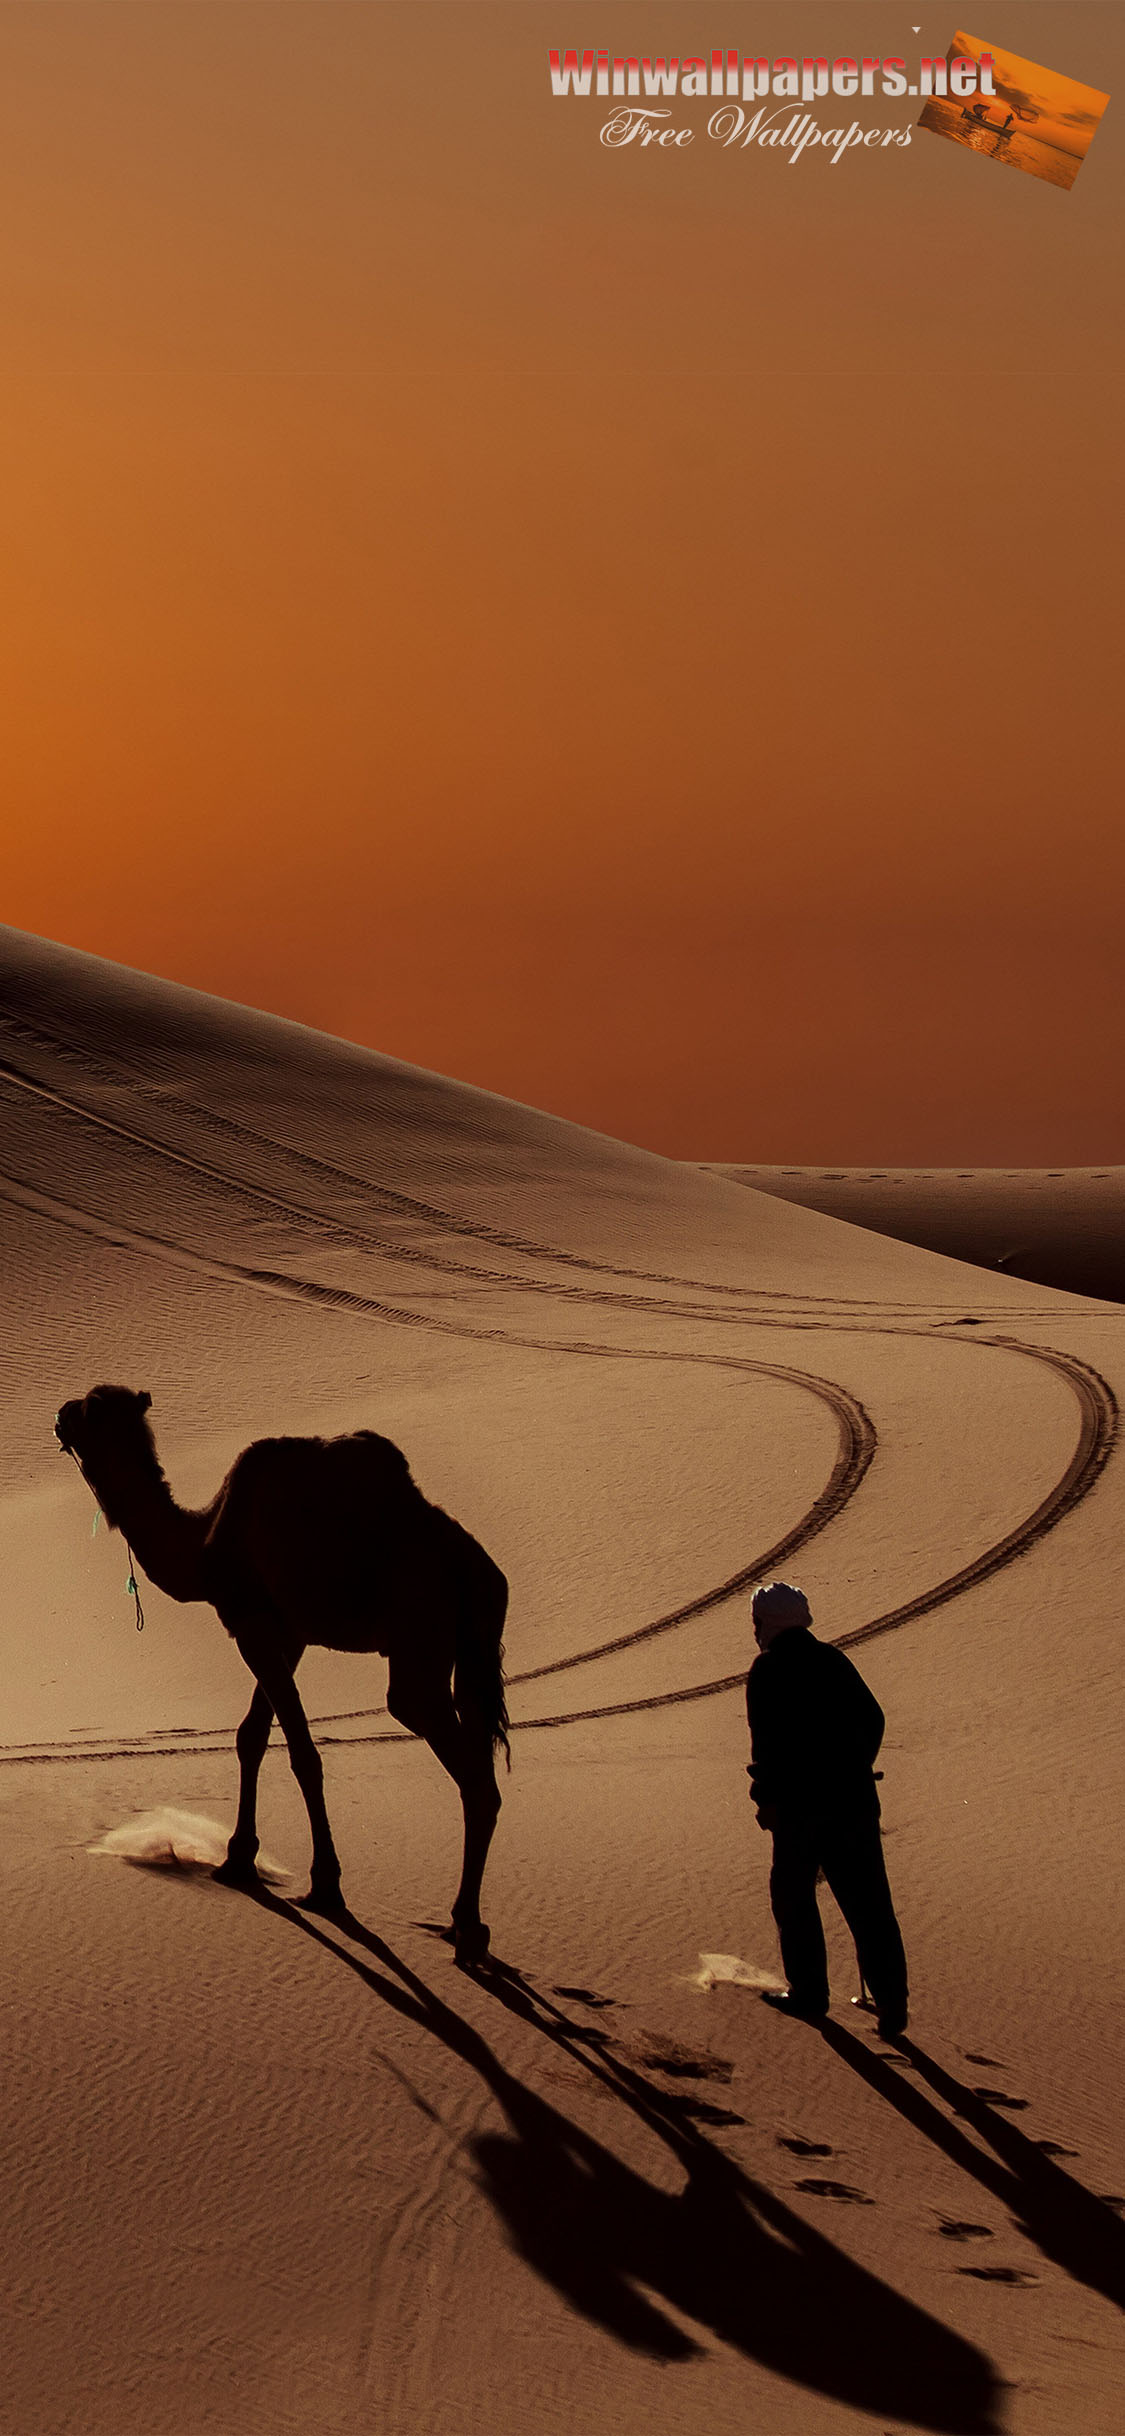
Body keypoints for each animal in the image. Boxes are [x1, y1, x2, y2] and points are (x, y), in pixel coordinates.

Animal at [55, 1385, 510, 1960]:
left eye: (91, 1408)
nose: (59, 1416)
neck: (206, 1542)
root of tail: (475, 1571)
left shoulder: (251, 1619)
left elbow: (301, 1753)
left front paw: (325, 1884)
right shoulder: (286, 1630)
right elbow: (251, 1735)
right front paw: (237, 1857)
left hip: (419, 1638)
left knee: (463, 1765)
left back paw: (466, 1926)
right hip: (474, 1651)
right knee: (480, 1747)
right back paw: (467, 1926)